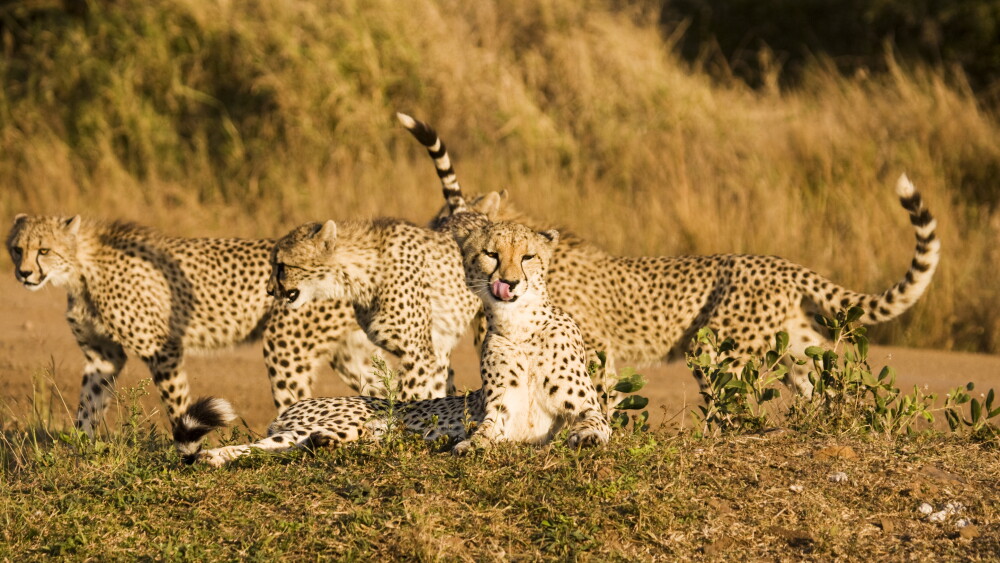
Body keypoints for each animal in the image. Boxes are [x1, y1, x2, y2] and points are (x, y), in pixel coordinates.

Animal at [4, 214, 393, 449]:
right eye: (17, 249)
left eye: (44, 250)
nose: (24, 273)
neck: (81, 266)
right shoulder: (103, 356)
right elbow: (89, 402)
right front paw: (81, 446)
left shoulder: (163, 348)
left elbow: (176, 401)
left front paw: (185, 441)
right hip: (347, 354)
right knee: (383, 391)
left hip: (286, 345)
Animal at [176, 216, 610, 466]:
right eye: (491, 254)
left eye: (528, 257)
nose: (510, 282)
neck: (522, 327)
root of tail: (298, 407)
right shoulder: (498, 416)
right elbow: (484, 433)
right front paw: (471, 446)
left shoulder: (586, 408)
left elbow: (595, 423)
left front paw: (585, 437)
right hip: (334, 422)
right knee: (264, 446)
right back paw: (215, 456)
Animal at [398, 113, 941, 398]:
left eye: (451, 227)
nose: (431, 242)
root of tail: (779, 262)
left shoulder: (595, 346)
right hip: (793, 345)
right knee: (822, 381)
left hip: (718, 347)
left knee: (728, 401)